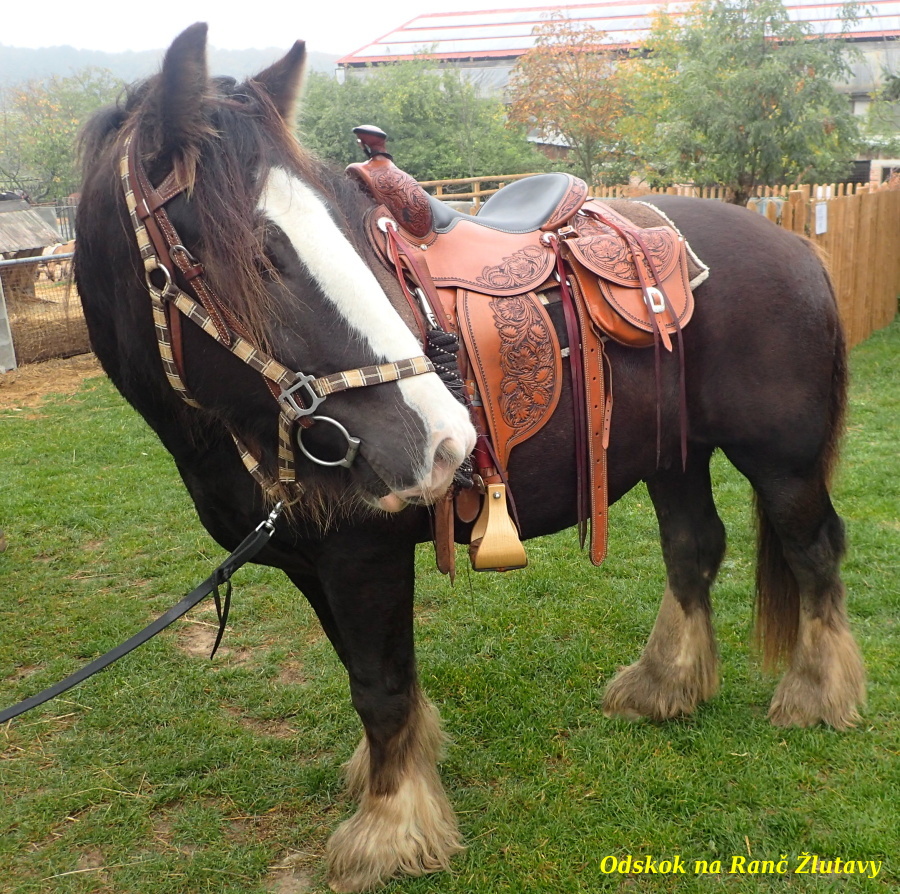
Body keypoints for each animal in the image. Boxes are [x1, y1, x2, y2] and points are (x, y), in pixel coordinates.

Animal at [72, 24, 864, 892]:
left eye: (344, 236)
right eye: (250, 252)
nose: (444, 442)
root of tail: (796, 246)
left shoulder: (364, 557)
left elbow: (380, 686)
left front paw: (390, 829)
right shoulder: (313, 563)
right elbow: (365, 675)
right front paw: (393, 781)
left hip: (781, 463)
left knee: (813, 553)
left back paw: (817, 696)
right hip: (673, 454)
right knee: (694, 547)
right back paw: (665, 685)